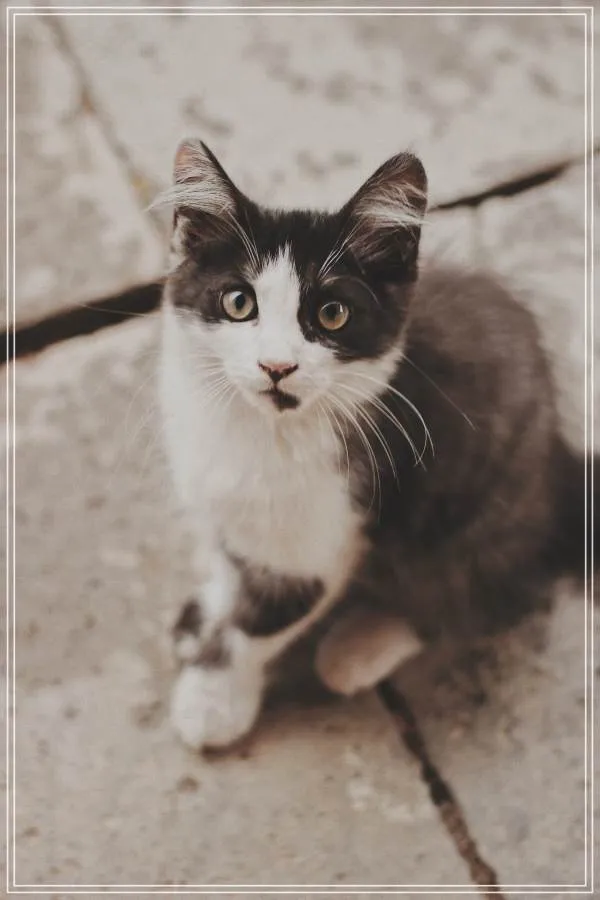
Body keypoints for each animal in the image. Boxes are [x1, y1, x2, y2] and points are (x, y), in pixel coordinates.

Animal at [156, 139, 592, 750]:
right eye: (239, 303)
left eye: (332, 314)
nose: (276, 366)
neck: (257, 432)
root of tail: (558, 461)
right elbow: (230, 563)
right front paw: (210, 610)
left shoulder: (324, 534)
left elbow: (260, 623)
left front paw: (213, 701)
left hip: (481, 511)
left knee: (480, 593)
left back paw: (361, 646)